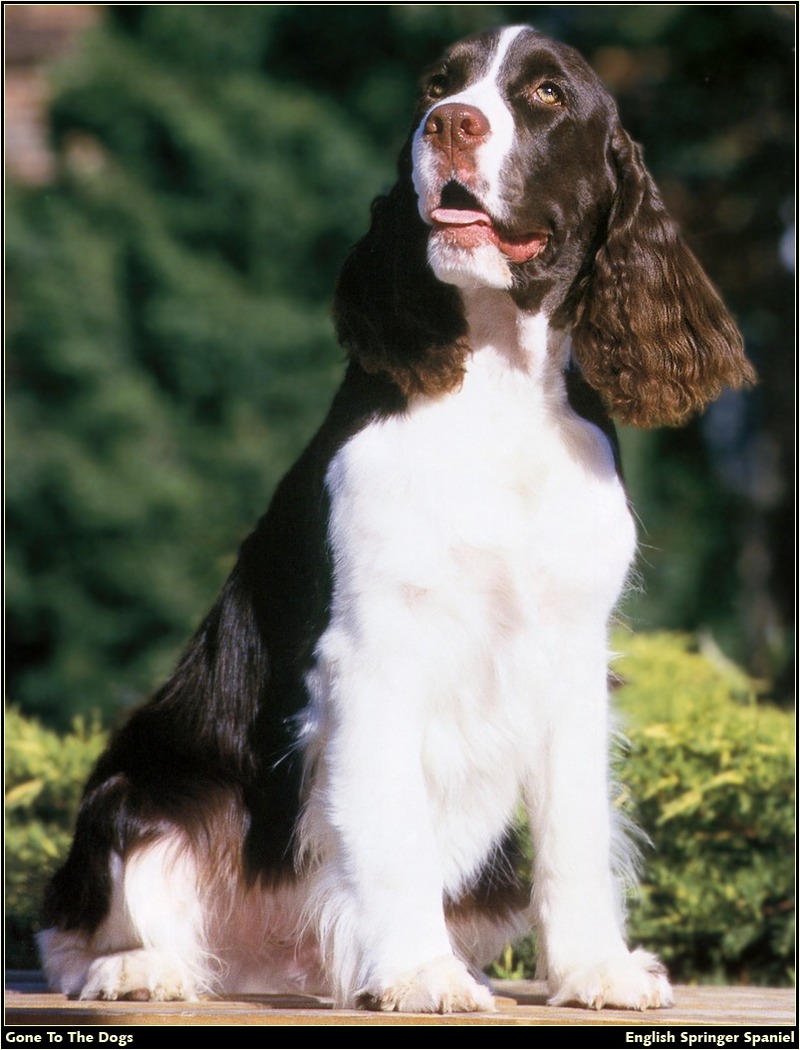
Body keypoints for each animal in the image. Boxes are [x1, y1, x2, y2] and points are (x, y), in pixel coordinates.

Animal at [40, 22, 755, 1007]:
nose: (450, 124)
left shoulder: (572, 650)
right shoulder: (372, 649)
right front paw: (421, 974)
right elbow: (391, 825)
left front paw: (597, 969)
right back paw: (137, 969)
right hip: (146, 784)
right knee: (89, 917)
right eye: (437, 83)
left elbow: (574, 831)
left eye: (546, 95)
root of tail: (280, 962)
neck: (494, 381)